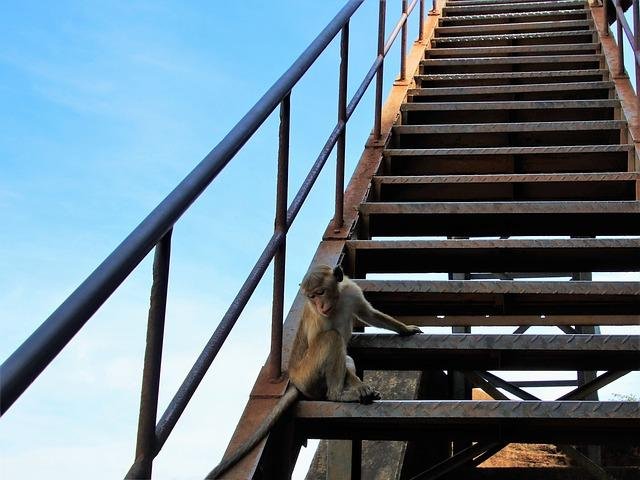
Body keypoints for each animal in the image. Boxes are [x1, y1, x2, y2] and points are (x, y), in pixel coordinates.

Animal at [208, 264, 422, 478]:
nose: (319, 305)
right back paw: (338, 395)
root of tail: (295, 379)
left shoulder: (352, 292)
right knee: (332, 338)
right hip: (308, 375)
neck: (337, 302)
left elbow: (369, 314)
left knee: (346, 357)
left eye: (320, 292)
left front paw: (405, 329)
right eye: (311, 297)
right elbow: (322, 339)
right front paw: (361, 387)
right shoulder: (318, 317)